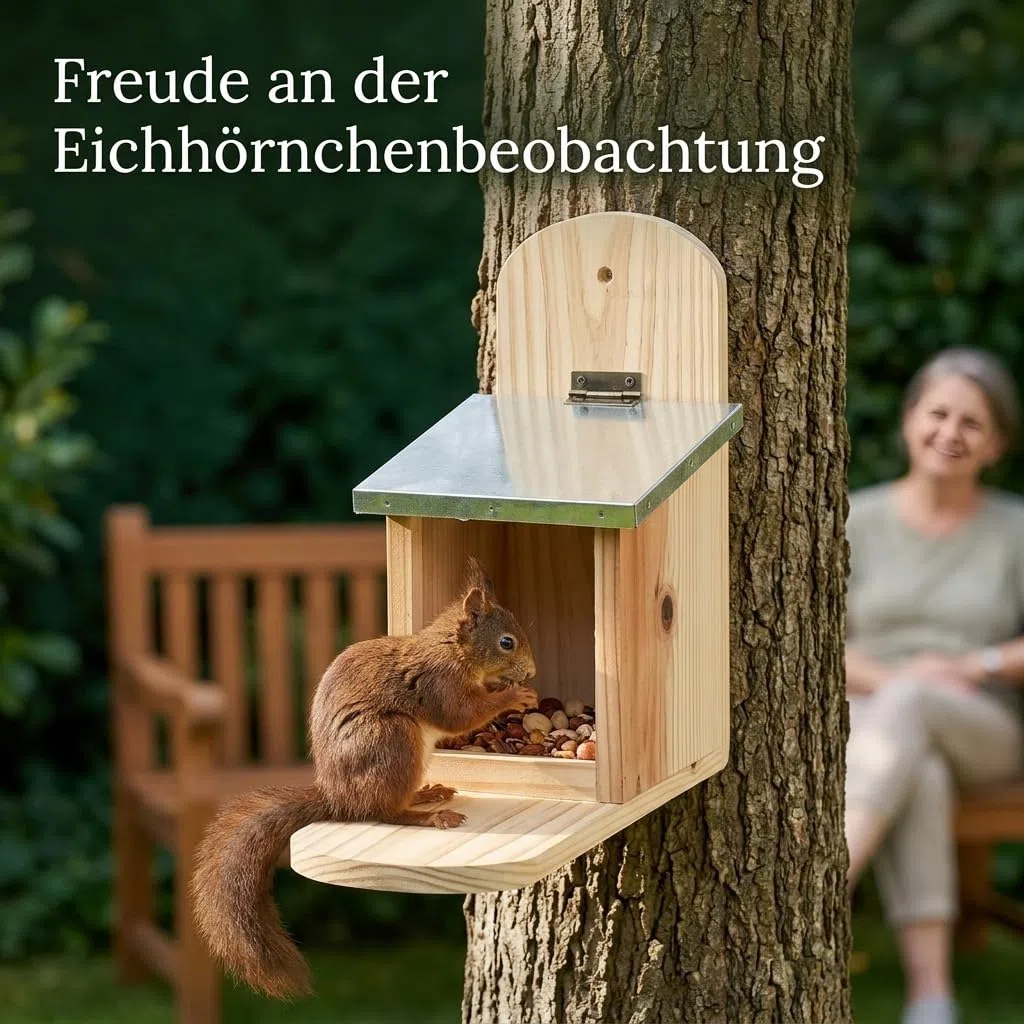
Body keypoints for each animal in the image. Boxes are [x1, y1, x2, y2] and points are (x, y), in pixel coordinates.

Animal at [190, 556, 537, 1001]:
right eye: (506, 643)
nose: (532, 670)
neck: (453, 649)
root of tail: (338, 797)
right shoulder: (439, 682)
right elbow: (460, 715)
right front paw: (513, 697)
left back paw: (428, 793)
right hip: (392, 739)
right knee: (384, 812)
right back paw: (429, 816)